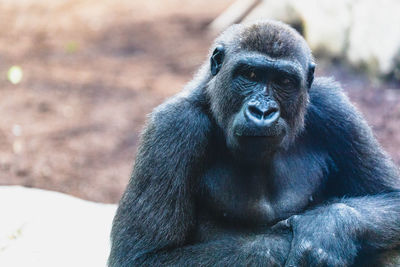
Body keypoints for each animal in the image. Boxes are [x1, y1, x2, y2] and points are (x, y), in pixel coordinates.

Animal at [108, 19, 400, 266]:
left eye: (284, 81)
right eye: (249, 75)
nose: (262, 111)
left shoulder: (334, 108)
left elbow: (391, 195)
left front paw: (328, 226)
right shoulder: (173, 127)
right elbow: (143, 256)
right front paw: (283, 243)